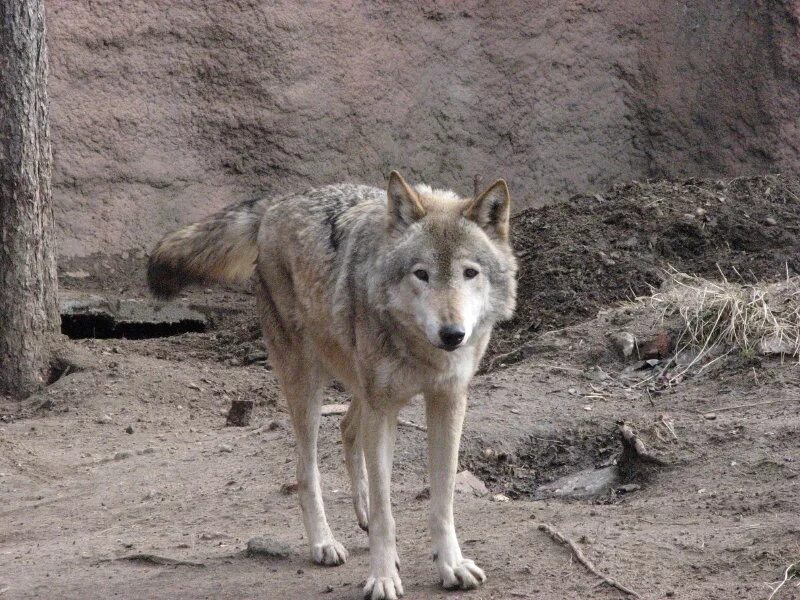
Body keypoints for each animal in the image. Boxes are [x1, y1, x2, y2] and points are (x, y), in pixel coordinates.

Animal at [146, 171, 516, 596]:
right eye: (421, 274)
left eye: (470, 272)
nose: (453, 334)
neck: (423, 351)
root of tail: (279, 201)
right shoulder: (382, 407)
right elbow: (387, 512)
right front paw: (382, 577)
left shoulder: (448, 400)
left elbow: (442, 502)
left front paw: (451, 566)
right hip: (308, 385)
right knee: (306, 471)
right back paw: (324, 543)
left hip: (359, 386)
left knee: (346, 427)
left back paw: (362, 514)